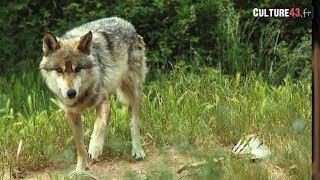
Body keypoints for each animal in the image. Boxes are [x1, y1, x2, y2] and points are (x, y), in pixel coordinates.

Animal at [39, 17, 147, 176]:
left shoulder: (103, 103)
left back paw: (138, 151)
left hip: (134, 91)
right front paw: (80, 171)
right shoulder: (72, 114)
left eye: (78, 69)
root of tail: (126, 23)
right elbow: (80, 148)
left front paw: (95, 148)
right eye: (59, 70)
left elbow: (99, 125)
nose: (71, 93)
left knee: (134, 123)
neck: (81, 97)